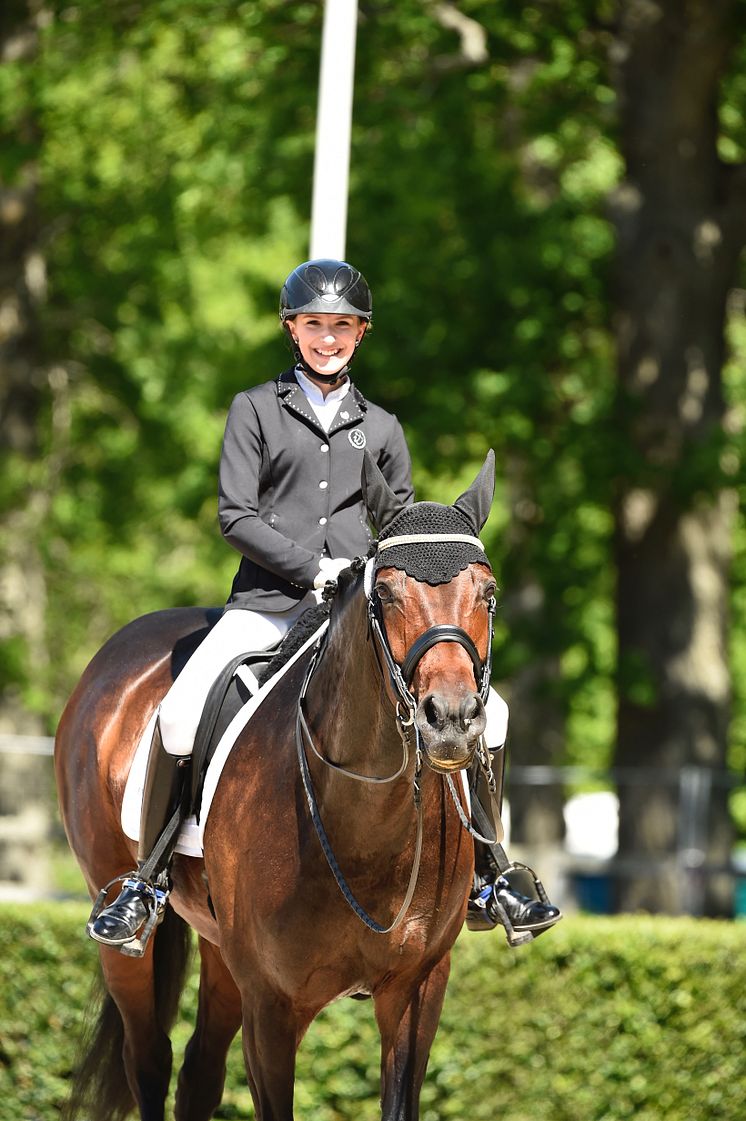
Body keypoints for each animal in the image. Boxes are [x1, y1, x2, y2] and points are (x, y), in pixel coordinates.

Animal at [56, 450, 500, 1116]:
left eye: (488, 592)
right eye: (386, 592)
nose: (449, 720)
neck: (368, 821)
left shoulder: (418, 990)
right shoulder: (272, 1005)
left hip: (219, 948)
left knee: (199, 1071)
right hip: (121, 926)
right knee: (150, 1059)